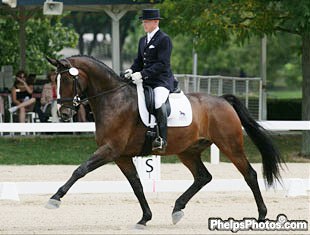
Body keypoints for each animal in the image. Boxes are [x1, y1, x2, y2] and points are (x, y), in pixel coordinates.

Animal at [45, 55, 284, 228]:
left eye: (68, 80)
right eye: (55, 81)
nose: (64, 114)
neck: (113, 99)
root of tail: (223, 100)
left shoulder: (110, 150)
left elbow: (80, 170)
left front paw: (55, 199)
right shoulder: (121, 156)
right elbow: (137, 185)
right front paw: (145, 218)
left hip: (230, 145)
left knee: (249, 174)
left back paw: (261, 216)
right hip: (188, 151)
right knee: (203, 177)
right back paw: (177, 209)